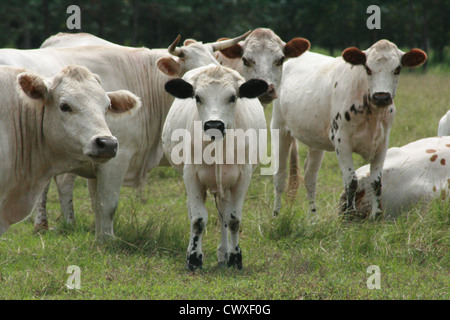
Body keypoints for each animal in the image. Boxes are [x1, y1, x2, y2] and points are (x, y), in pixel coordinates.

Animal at [162, 65, 268, 270]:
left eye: (233, 97)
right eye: (197, 97)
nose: (214, 125)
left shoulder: (243, 176)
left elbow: (233, 219)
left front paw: (235, 258)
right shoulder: (191, 175)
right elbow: (198, 220)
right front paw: (194, 258)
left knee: (223, 215)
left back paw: (223, 253)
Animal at [272, 39, 428, 220]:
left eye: (397, 69)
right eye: (368, 69)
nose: (381, 97)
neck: (372, 114)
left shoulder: (382, 143)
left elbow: (376, 182)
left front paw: (377, 216)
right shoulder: (342, 141)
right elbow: (351, 181)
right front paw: (348, 217)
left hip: (315, 142)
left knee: (310, 177)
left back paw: (313, 220)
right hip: (280, 128)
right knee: (280, 176)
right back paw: (276, 216)